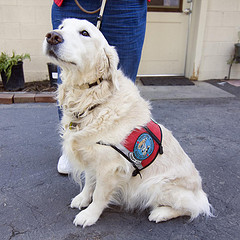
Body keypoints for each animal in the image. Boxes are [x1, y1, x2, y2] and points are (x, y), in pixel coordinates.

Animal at [43, 18, 212, 227]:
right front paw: (82, 198)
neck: (92, 99)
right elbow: (89, 182)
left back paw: (161, 213)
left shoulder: (109, 166)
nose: (52, 36)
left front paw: (90, 214)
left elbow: (99, 194)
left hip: (156, 185)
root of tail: (200, 192)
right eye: (61, 27)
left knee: (192, 208)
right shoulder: (91, 156)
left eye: (84, 33)